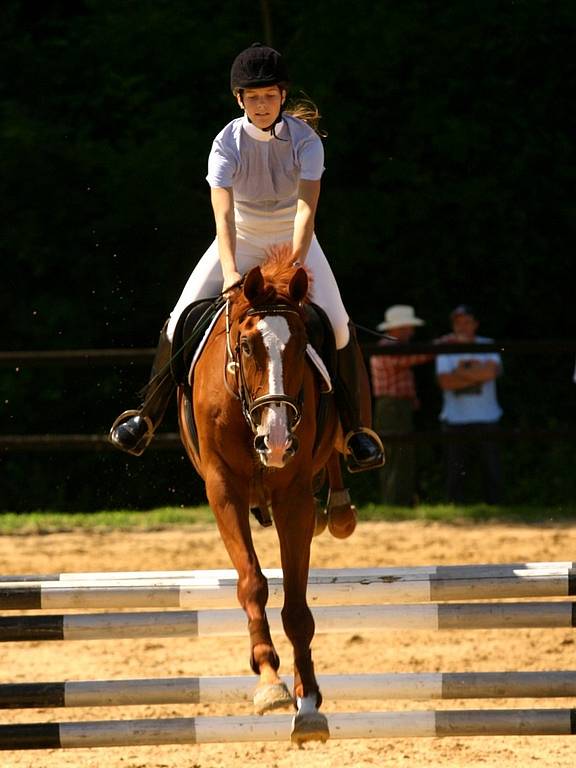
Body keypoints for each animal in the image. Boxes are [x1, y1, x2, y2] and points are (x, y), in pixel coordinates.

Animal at [178, 248, 362, 744]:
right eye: (246, 347)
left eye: (301, 347)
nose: (276, 441)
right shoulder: (223, 490)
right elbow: (252, 582)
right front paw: (269, 680)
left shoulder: (292, 498)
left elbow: (297, 609)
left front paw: (309, 702)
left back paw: (339, 509)